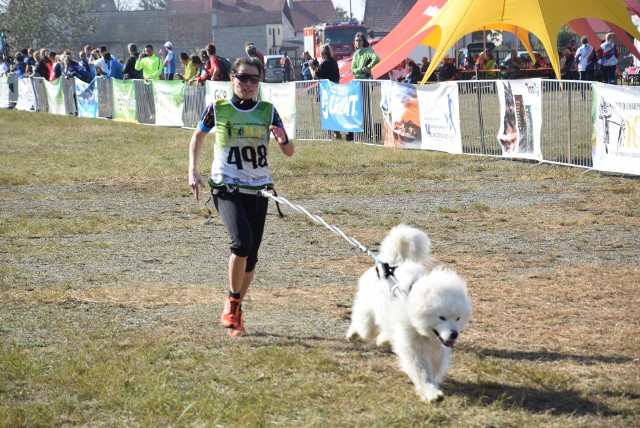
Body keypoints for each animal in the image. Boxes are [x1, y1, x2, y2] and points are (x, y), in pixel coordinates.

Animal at [348, 226, 472, 402]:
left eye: (458, 318)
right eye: (441, 317)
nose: (454, 334)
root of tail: (392, 264)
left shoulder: (437, 347)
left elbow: (434, 366)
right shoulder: (413, 344)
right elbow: (421, 371)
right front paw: (431, 392)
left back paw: (383, 340)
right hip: (370, 310)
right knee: (364, 326)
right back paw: (354, 334)